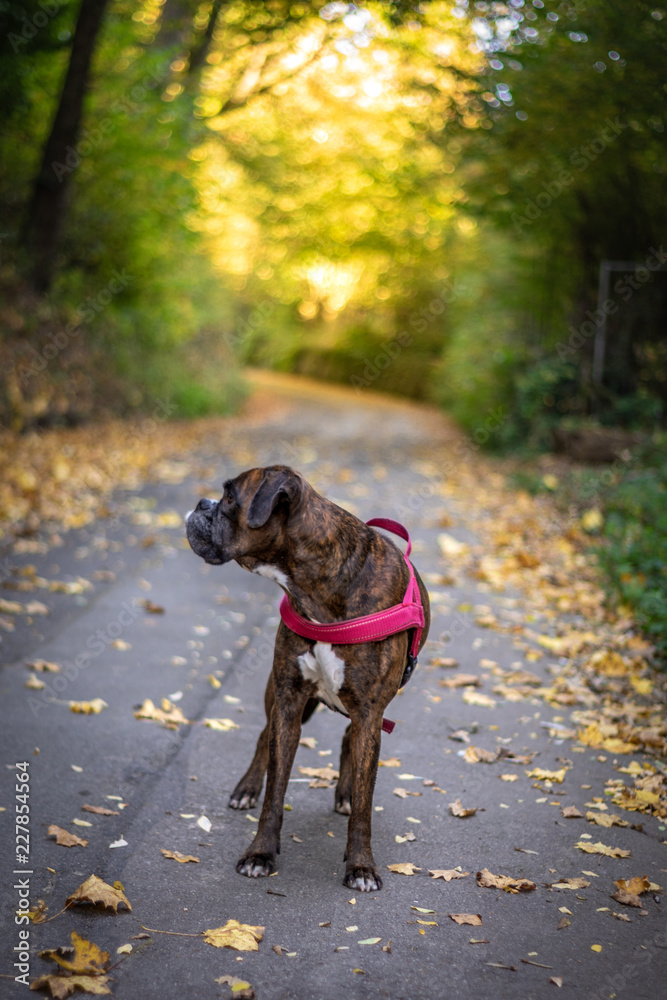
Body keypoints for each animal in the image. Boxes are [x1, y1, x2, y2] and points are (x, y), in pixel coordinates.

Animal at [185, 462, 430, 892]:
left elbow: (364, 803)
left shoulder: (370, 712)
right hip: (285, 698)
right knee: (263, 736)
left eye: (230, 497)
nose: (201, 503)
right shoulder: (289, 700)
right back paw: (247, 788)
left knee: (349, 741)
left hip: (364, 712)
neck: (321, 585)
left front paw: (361, 866)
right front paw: (260, 853)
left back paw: (344, 792)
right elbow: (275, 791)